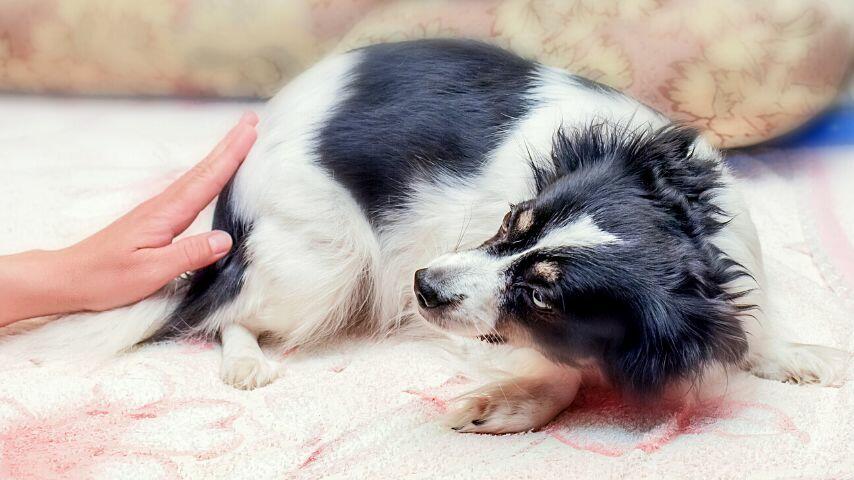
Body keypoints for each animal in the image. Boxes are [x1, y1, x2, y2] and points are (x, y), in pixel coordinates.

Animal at [5, 39, 848, 434]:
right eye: (509, 221)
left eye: (548, 298)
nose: (422, 286)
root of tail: (231, 209)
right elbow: (556, 373)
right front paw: (507, 406)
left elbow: (759, 321)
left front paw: (794, 353)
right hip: (325, 264)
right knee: (227, 317)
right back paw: (245, 361)